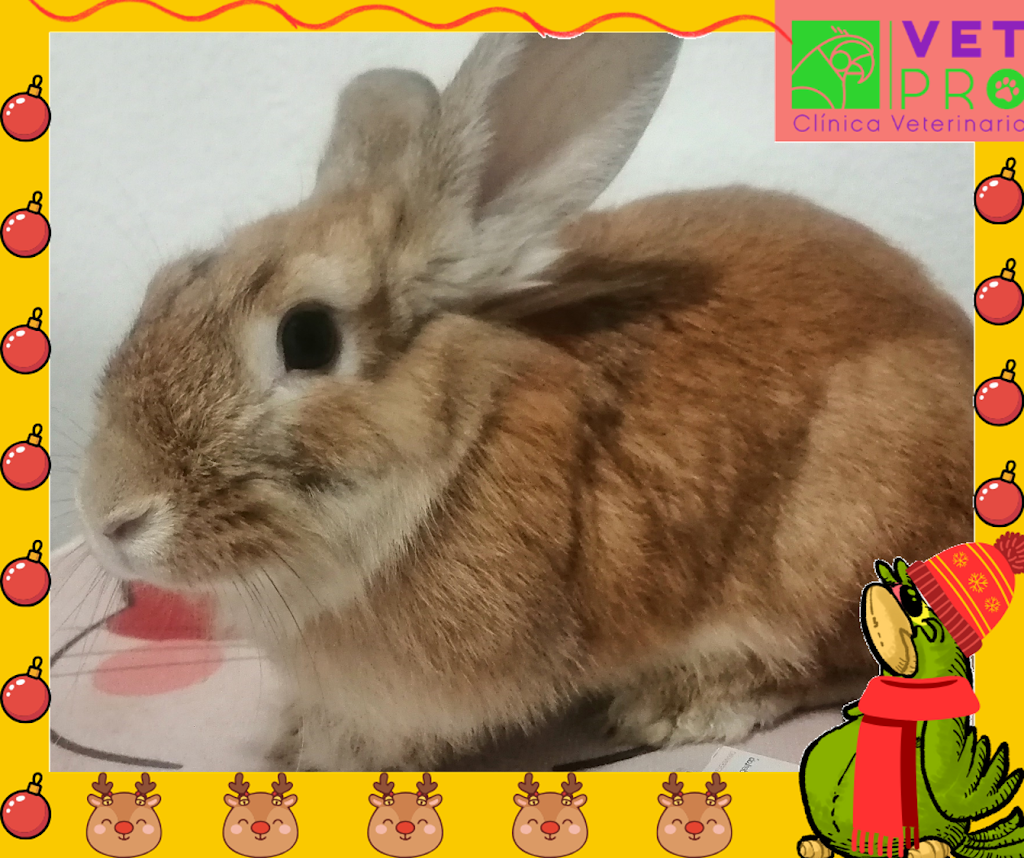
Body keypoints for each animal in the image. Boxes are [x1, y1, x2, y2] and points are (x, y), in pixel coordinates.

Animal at [76, 33, 973, 771]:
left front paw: (328, 752)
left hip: (843, 536)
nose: (110, 519)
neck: (458, 436)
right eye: (167, 284)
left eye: (308, 338)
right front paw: (297, 737)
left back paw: (686, 703)